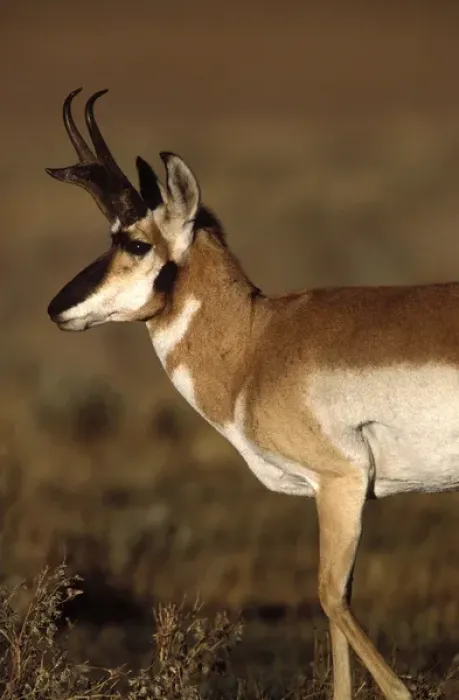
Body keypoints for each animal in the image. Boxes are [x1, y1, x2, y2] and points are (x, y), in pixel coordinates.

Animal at [46, 88, 459, 700]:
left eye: (137, 242)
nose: (57, 308)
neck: (256, 341)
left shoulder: (341, 484)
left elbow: (330, 598)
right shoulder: (333, 496)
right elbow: (339, 605)